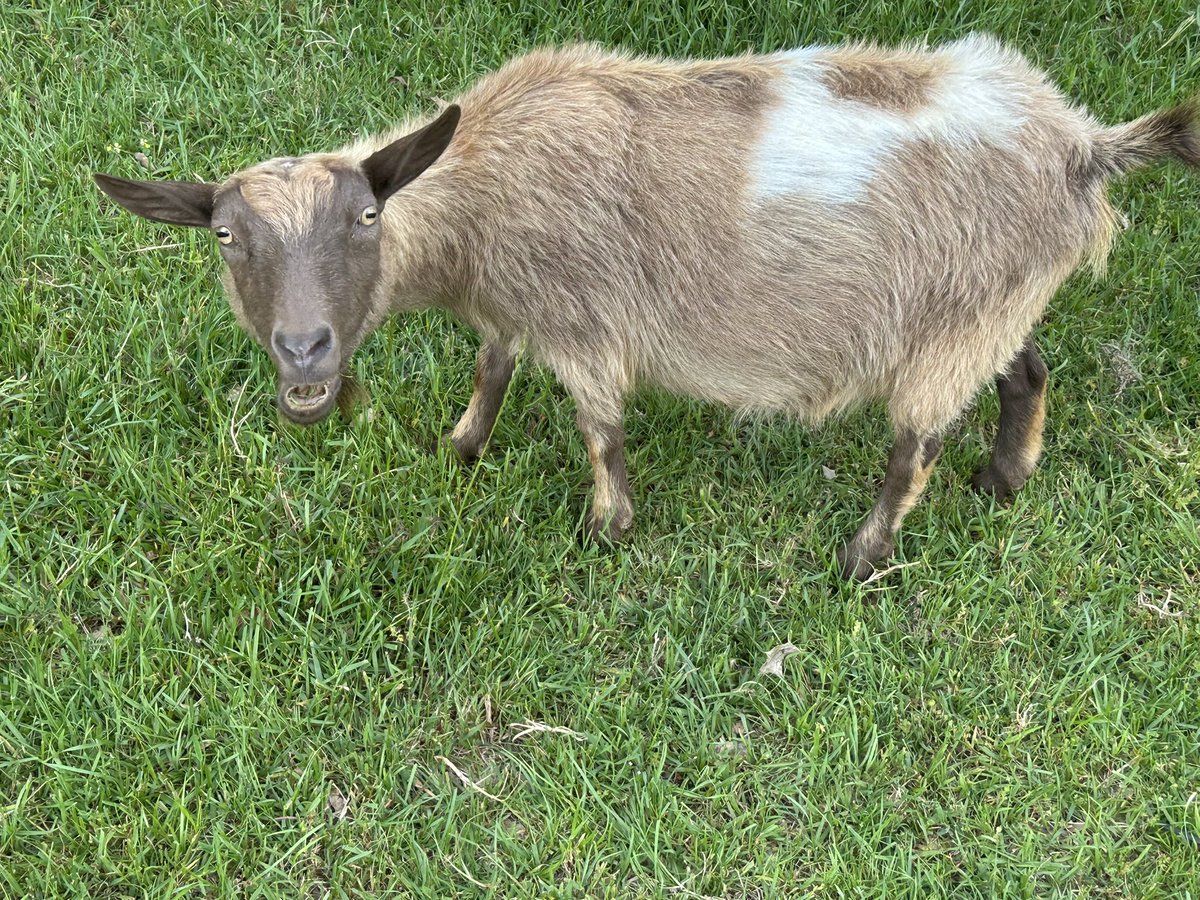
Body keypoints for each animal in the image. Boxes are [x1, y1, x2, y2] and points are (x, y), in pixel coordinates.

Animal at [94, 35, 1199, 579]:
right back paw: (1006, 480)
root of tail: (1084, 145)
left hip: (949, 329)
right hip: (982, 306)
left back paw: (864, 557)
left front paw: (607, 530)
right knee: (1029, 369)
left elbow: (600, 427)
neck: (484, 184)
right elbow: (494, 364)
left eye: (366, 216)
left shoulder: (583, 321)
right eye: (226, 239)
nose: (305, 353)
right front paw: (463, 446)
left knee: (913, 447)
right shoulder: (519, 303)